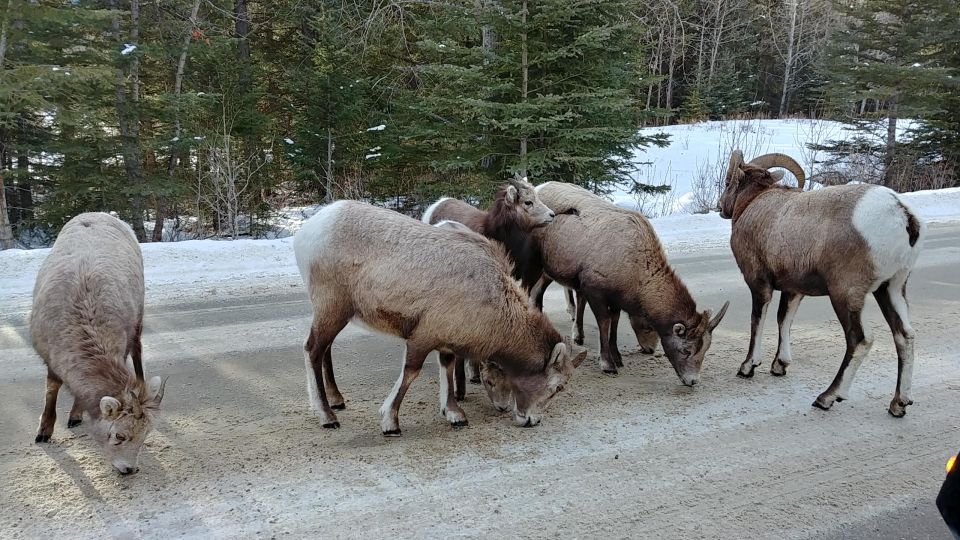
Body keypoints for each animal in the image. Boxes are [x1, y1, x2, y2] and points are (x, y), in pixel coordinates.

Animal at [30, 213, 167, 474]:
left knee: (138, 352)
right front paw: (44, 432)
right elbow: (52, 389)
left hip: (138, 320)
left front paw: (73, 416)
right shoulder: (49, 355)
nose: (129, 470)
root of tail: (100, 214)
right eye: (118, 436)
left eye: (145, 437)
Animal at [292, 199, 584, 434]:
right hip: (332, 307)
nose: (531, 420)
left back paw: (336, 400)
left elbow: (448, 368)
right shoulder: (422, 336)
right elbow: (410, 373)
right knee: (312, 349)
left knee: (324, 349)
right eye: (557, 387)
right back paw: (327, 416)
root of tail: (309, 231)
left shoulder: (446, 340)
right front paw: (390, 423)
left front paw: (454, 415)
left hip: (334, 312)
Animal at [532, 184, 728, 386]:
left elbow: (615, 322)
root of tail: (538, 187)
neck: (634, 270)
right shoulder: (594, 290)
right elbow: (604, 322)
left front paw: (618, 358)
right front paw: (608, 364)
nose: (692, 381)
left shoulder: (615, 298)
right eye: (685, 350)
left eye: (706, 349)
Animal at [720, 150, 924, 416]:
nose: (720, 207)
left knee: (860, 340)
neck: (754, 204)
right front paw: (779, 366)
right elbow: (784, 320)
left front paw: (747, 367)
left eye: (727, 182)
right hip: (891, 288)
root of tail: (903, 215)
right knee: (904, 336)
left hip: (845, 294)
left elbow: (758, 321)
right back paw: (898, 404)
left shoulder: (759, 283)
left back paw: (826, 398)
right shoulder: (793, 289)